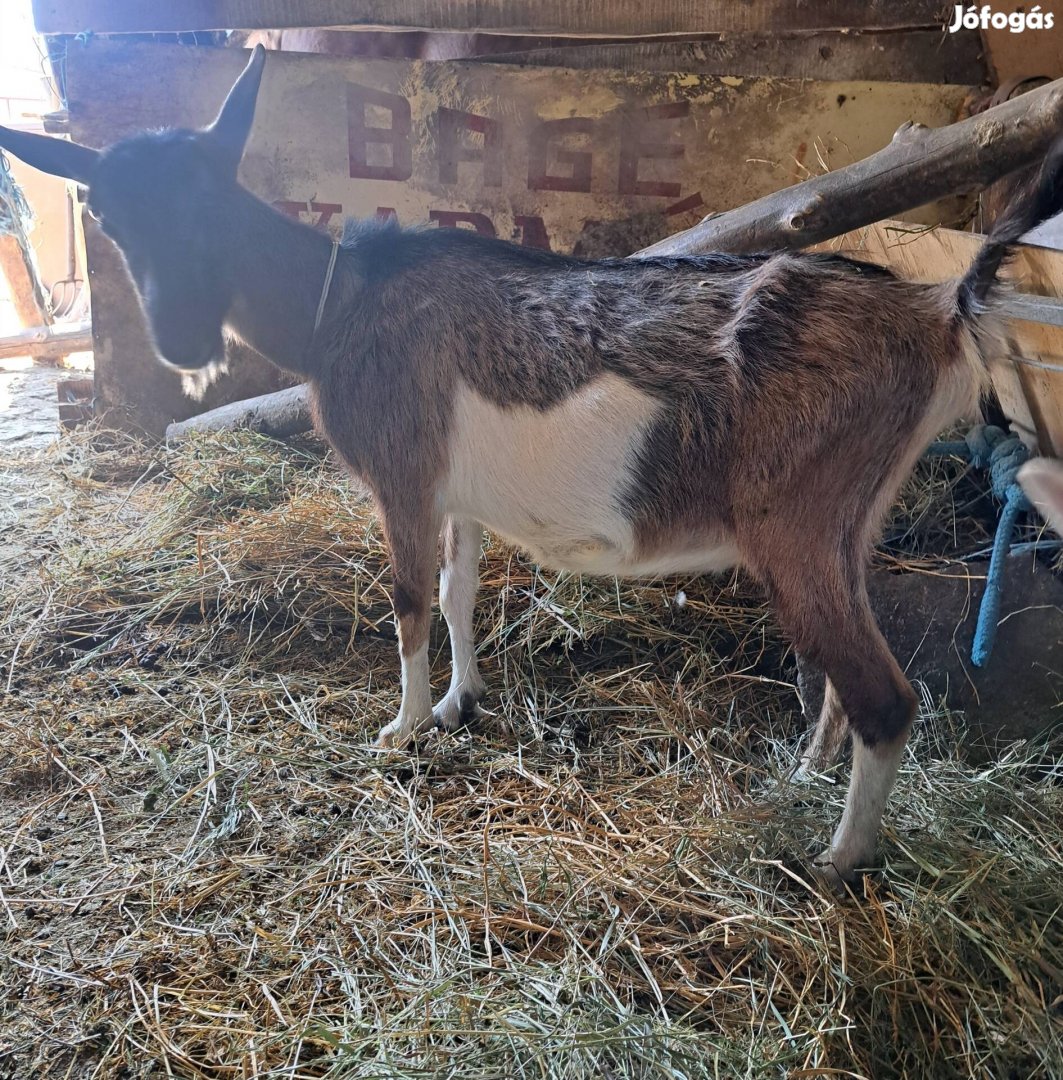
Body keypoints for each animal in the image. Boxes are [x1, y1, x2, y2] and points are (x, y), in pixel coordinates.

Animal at [4, 46, 1058, 889]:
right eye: (108, 215)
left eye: (216, 197)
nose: (181, 339)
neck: (338, 302)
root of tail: (939, 310)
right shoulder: (457, 495)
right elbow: (458, 590)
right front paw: (460, 700)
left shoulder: (402, 474)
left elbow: (406, 600)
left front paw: (403, 729)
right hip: (852, 520)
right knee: (849, 667)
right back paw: (806, 775)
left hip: (795, 521)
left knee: (885, 694)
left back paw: (836, 861)